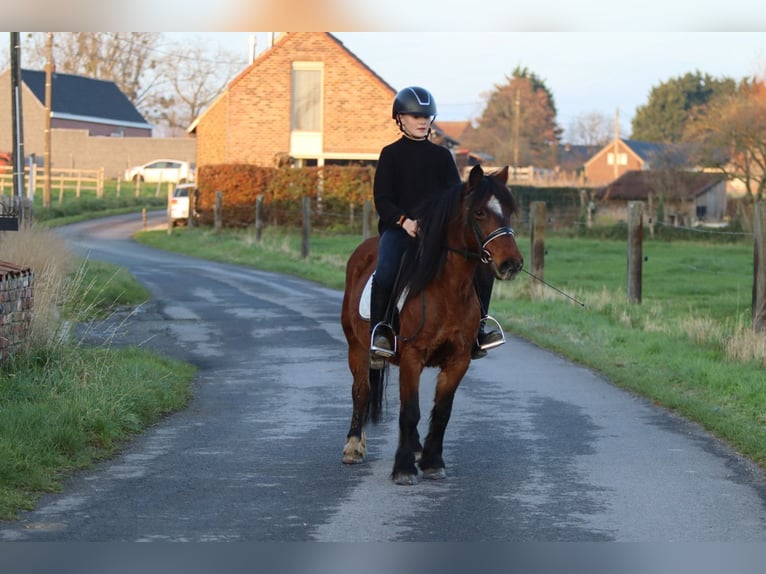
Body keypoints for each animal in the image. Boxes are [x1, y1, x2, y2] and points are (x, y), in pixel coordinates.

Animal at [340, 164, 525, 485]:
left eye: (509, 211)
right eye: (479, 212)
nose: (511, 263)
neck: (448, 289)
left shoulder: (458, 360)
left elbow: (441, 412)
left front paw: (432, 462)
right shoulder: (412, 356)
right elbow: (410, 410)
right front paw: (403, 468)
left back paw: (415, 449)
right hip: (357, 347)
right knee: (361, 392)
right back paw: (353, 447)